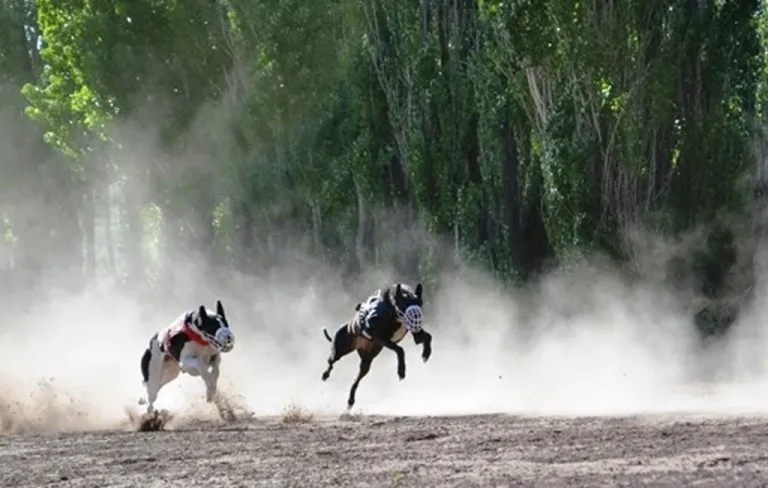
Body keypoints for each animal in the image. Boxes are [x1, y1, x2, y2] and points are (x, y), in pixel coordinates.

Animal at [320, 280, 436, 410]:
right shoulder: (380, 338)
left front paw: (426, 354)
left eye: (419, 304)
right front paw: (401, 371)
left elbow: (428, 337)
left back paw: (350, 400)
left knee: (357, 379)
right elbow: (400, 350)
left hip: (366, 362)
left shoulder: (415, 334)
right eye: (403, 306)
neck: (392, 310)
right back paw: (325, 375)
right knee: (331, 362)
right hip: (339, 350)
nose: (417, 317)